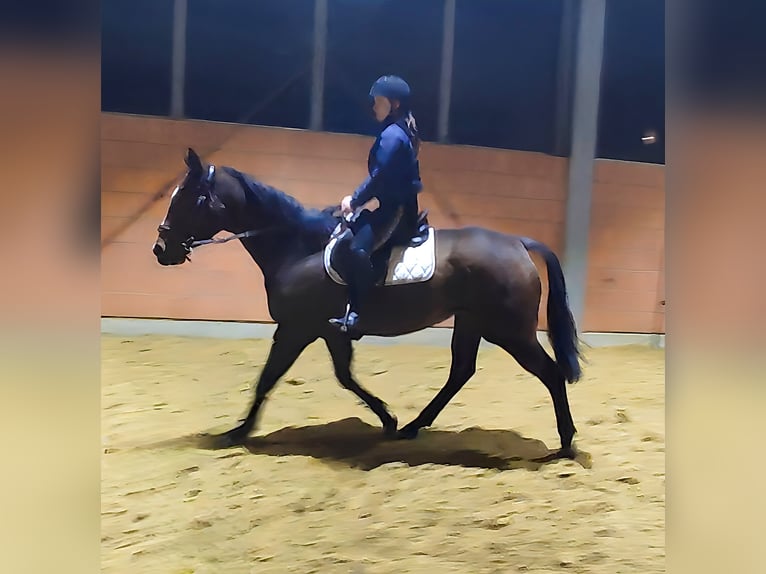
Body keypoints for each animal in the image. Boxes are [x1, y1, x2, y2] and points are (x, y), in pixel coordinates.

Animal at [152, 147, 583, 459]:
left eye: (187, 197)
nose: (160, 250)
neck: (299, 247)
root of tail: (518, 243)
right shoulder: (327, 331)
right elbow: (344, 376)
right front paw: (388, 419)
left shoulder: (296, 328)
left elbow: (268, 378)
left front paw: (237, 432)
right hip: (472, 322)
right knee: (461, 372)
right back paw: (412, 428)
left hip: (509, 331)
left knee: (550, 373)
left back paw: (565, 443)